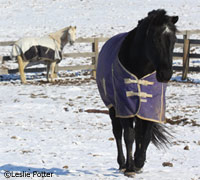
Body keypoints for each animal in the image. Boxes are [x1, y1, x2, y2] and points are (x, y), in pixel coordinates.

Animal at [96, 9, 179, 176]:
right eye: (155, 39)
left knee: (139, 132)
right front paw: (130, 167)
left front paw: (139, 163)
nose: (166, 74)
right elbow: (129, 136)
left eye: (174, 39)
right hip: (113, 108)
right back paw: (122, 163)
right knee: (117, 133)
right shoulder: (124, 107)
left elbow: (145, 136)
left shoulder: (150, 108)